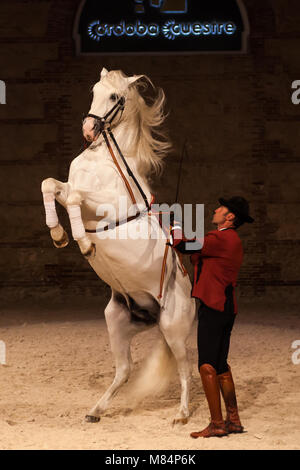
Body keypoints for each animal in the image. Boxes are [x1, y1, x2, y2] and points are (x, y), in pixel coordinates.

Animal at [41, 68, 197, 424]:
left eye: (114, 96)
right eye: (94, 90)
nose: (88, 129)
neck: (105, 161)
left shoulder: (106, 206)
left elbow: (74, 196)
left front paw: (85, 243)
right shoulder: (68, 188)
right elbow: (51, 186)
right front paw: (58, 234)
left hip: (174, 328)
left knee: (185, 368)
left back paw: (182, 414)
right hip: (117, 322)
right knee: (124, 370)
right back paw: (95, 411)